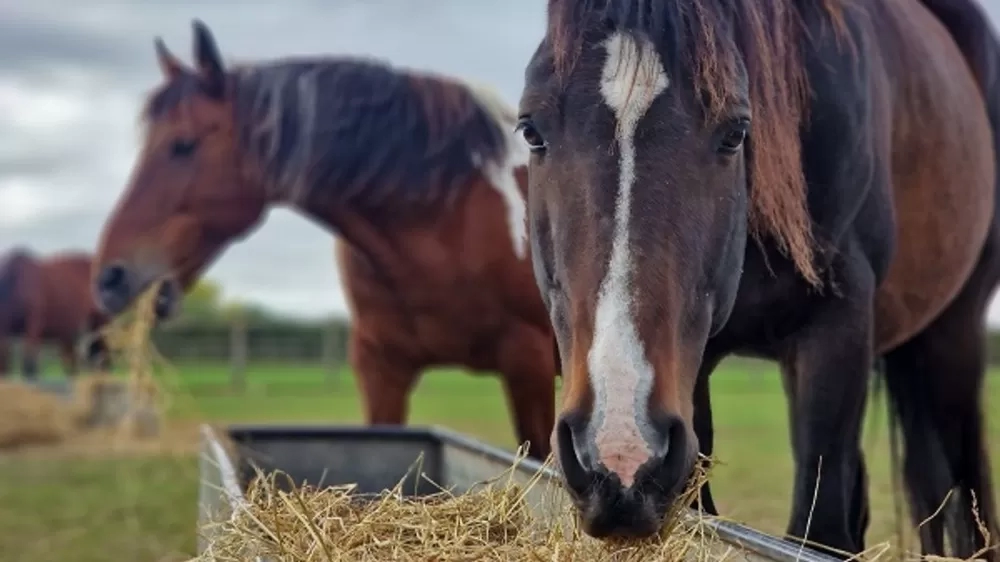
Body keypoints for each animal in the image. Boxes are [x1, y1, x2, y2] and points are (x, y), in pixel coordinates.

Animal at [0, 248, 112, 376]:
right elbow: (5, 365)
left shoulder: (33, 326)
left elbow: (29, 365)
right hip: (69, 335)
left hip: (100, 326)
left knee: (104, 360)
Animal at [520, 0, 1000, 556]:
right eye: (530, 130)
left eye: (735, 133)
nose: (620, 455)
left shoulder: (836, 333)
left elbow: (819, 531)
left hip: (950, 343)